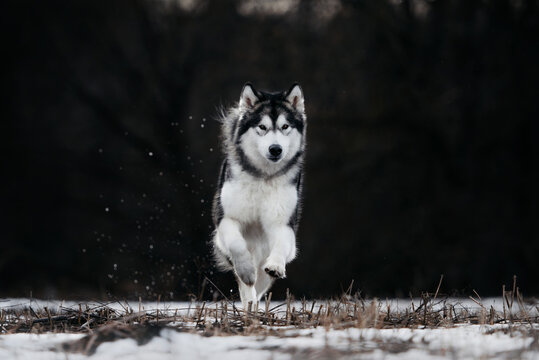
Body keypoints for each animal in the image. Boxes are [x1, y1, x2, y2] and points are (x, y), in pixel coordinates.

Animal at [212, 83, 306, 306]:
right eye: (262, 127)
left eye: (285, 126)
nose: (275, 149)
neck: (264, 177)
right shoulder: (227, 218)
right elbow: (236, 244)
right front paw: (246, 270)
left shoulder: (283, 223)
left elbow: (281, 244)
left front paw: (276, 265)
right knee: (248, 286)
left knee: (261, 283)